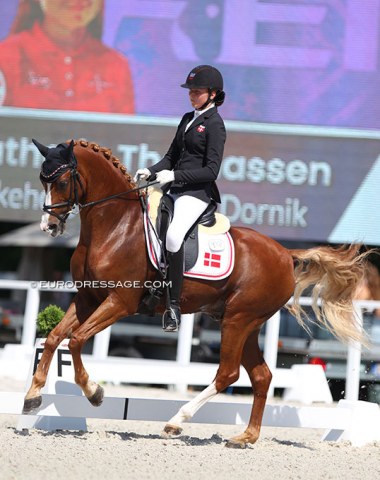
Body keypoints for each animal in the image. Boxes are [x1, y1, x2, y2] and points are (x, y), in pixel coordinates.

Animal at [24, 141, 368, 448]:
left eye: (63, 181)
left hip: (238, 320)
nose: (49, 226)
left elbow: (76, 340)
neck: (114, 226)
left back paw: (177, 421)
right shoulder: (88, 299)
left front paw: (94, 392)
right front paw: (33, 396)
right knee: (261, 376)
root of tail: (285, 254)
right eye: (42, 179)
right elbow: (54, 338)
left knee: (228, 373)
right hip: (244, 324)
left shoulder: (119, 303)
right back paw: (245, 437)